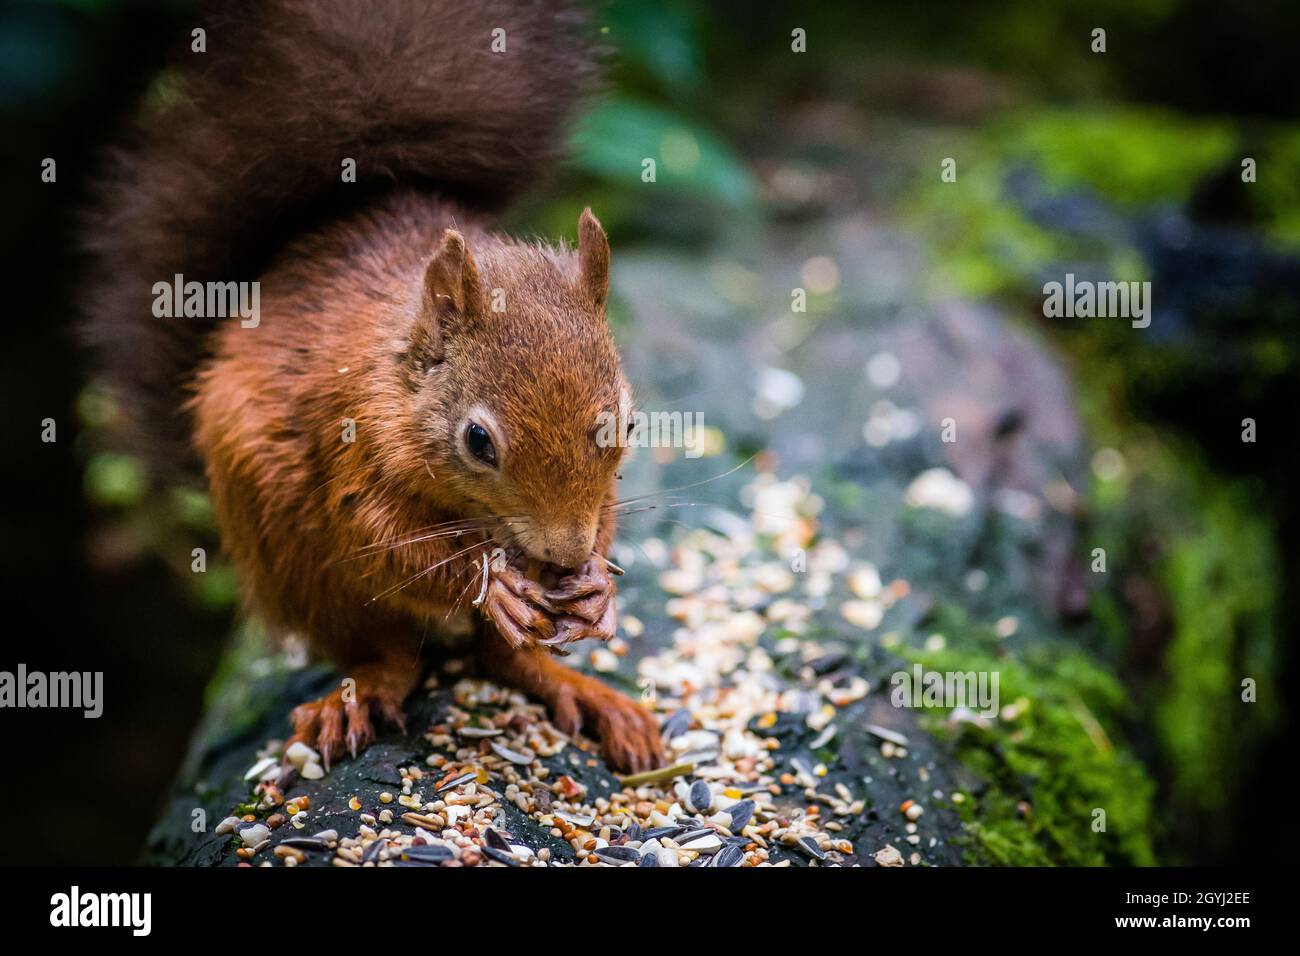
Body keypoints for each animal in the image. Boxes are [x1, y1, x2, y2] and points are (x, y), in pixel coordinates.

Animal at [81, 0, 665, 773]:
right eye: (479, 442)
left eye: (626, 425)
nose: (562, 558)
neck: (400, 375)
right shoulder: (352, 440)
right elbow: (386, 540)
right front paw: (491, 582)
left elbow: (603, 516)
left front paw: (597, 584)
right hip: (304, 570)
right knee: (389, 654)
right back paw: (356, 698)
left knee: (505, 663)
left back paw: (584, 693)